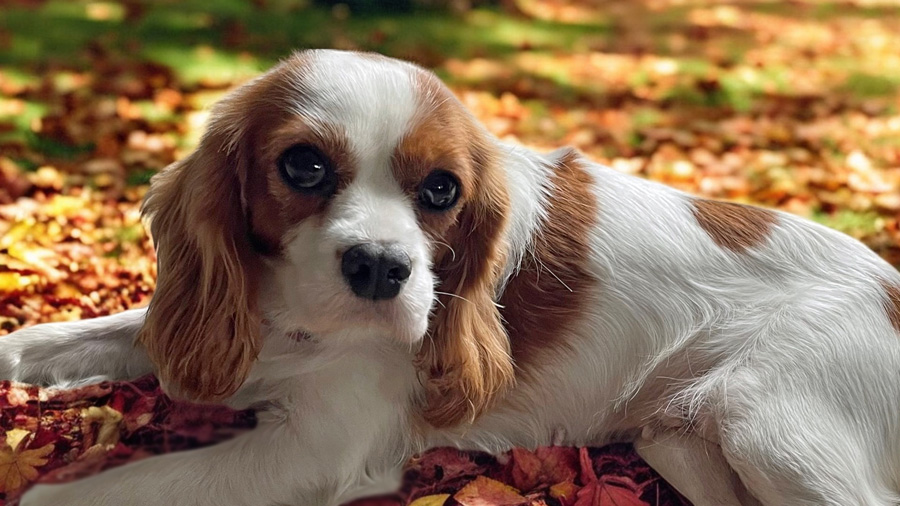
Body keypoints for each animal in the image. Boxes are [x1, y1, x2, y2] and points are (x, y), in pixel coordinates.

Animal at [5, 48, 900, 506]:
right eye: (303, 165)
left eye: (442, 191)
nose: (380, 267)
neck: (293, 319)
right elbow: (107, 332)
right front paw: (24, 351)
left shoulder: (313, 451)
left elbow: (76, 495)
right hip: (679, 442)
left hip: (768, 428)